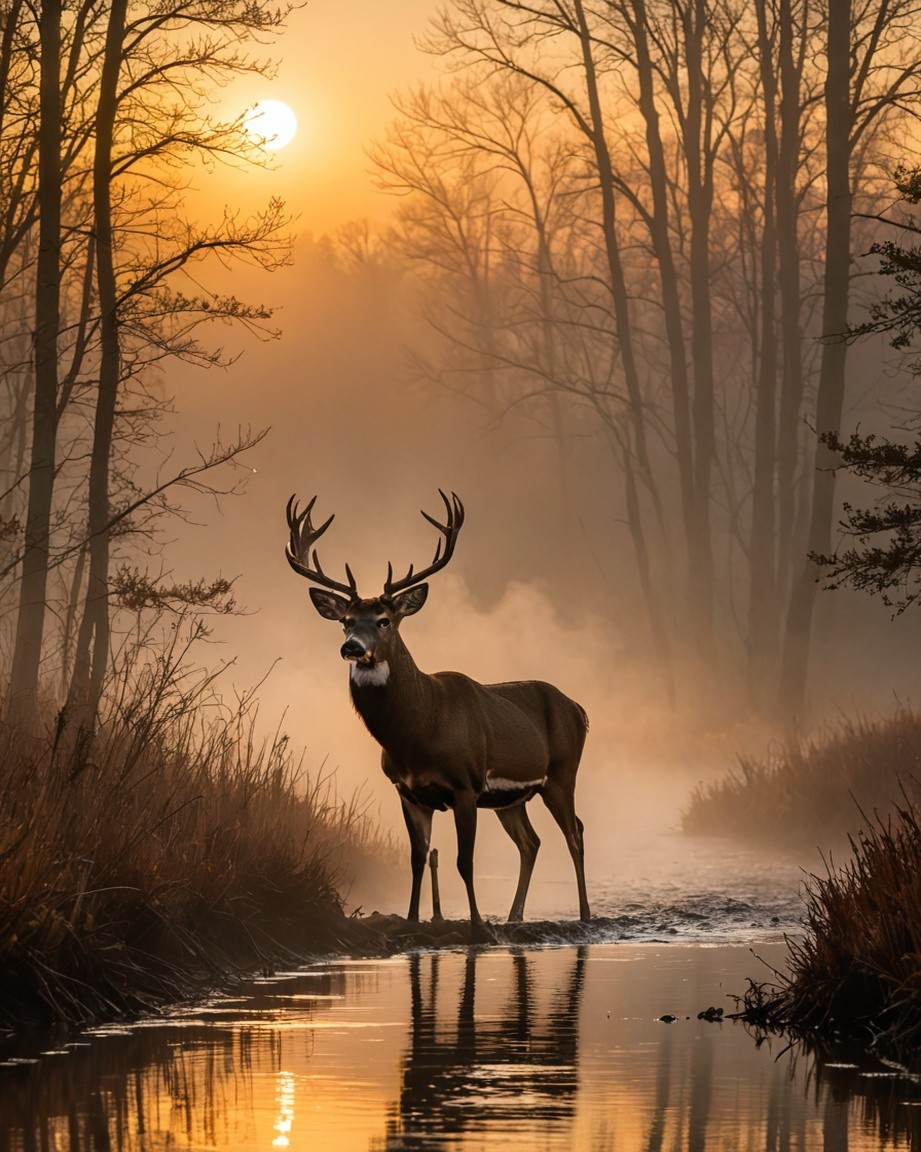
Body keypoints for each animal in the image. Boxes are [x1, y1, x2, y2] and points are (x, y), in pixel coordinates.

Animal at [285, 490, 590, 938]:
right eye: (345, 621)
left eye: (384, 620)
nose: (352, 647)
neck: (418, 734)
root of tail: (580, 708)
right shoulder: (407, 791)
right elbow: (416, 858)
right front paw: (413, 922)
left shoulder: (465, 784)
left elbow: (465, 861)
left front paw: (478, 926)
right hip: (510, 799)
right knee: (531, 842)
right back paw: (514, 917)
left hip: (562, 772)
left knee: (575, 833)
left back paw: (584, 915)